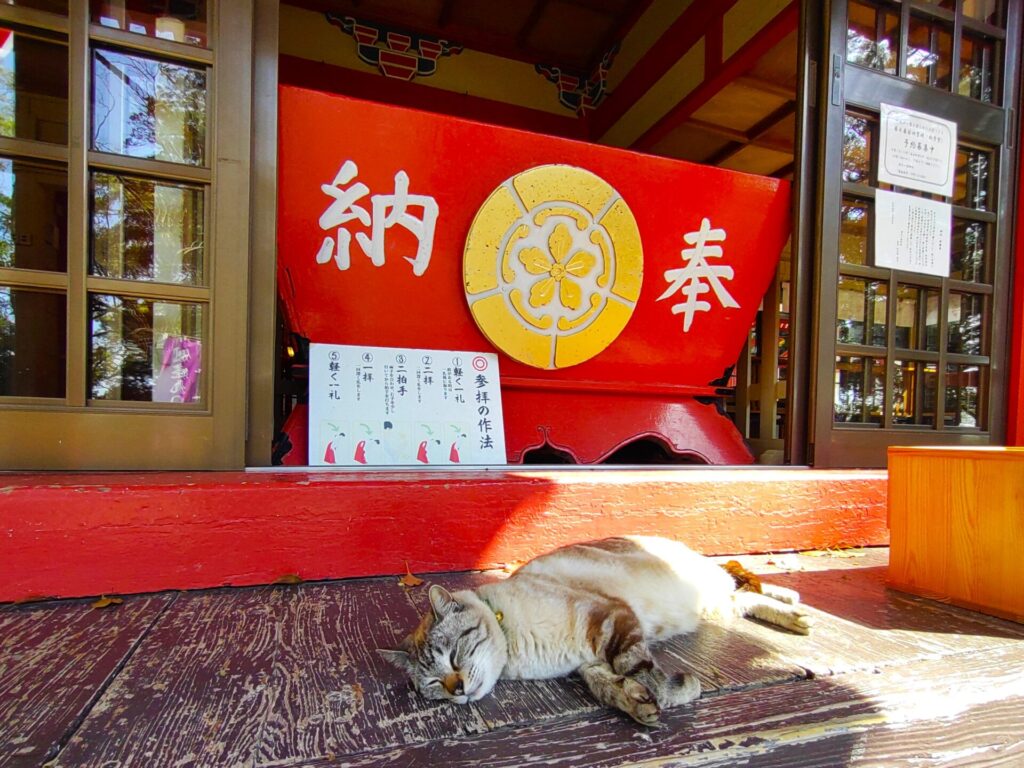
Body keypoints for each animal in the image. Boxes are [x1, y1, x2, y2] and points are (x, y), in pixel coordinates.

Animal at [380, 536, 811, 724]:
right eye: (433, 684)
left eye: (454, 656)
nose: (458, 691)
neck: (519, 652)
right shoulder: (588, 661)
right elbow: (609, 686)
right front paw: (638, 706)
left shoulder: (611, 620)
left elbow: (646, 674)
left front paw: (674, 693)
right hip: (714, 607)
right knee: (743, 596)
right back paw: (795, 611)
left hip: (706, 590)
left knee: (744, 582)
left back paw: (796, 606)